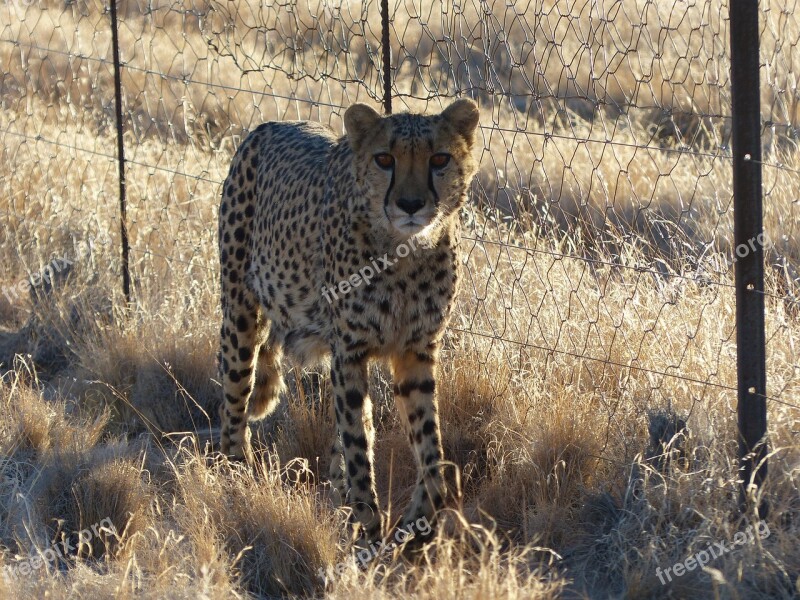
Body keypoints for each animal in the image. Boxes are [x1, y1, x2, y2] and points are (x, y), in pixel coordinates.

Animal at [217, 99, 482, 544]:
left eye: (440, 159)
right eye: (384, 159)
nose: (410, 204)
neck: (404, 254)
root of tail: (270, 124)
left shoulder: (416, 351)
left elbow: (431, 448)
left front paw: (418, 521)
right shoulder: (350, 351)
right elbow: (358, 445)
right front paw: (367, 524)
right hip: (239, 309)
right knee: (236, 390)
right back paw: (233, 468)